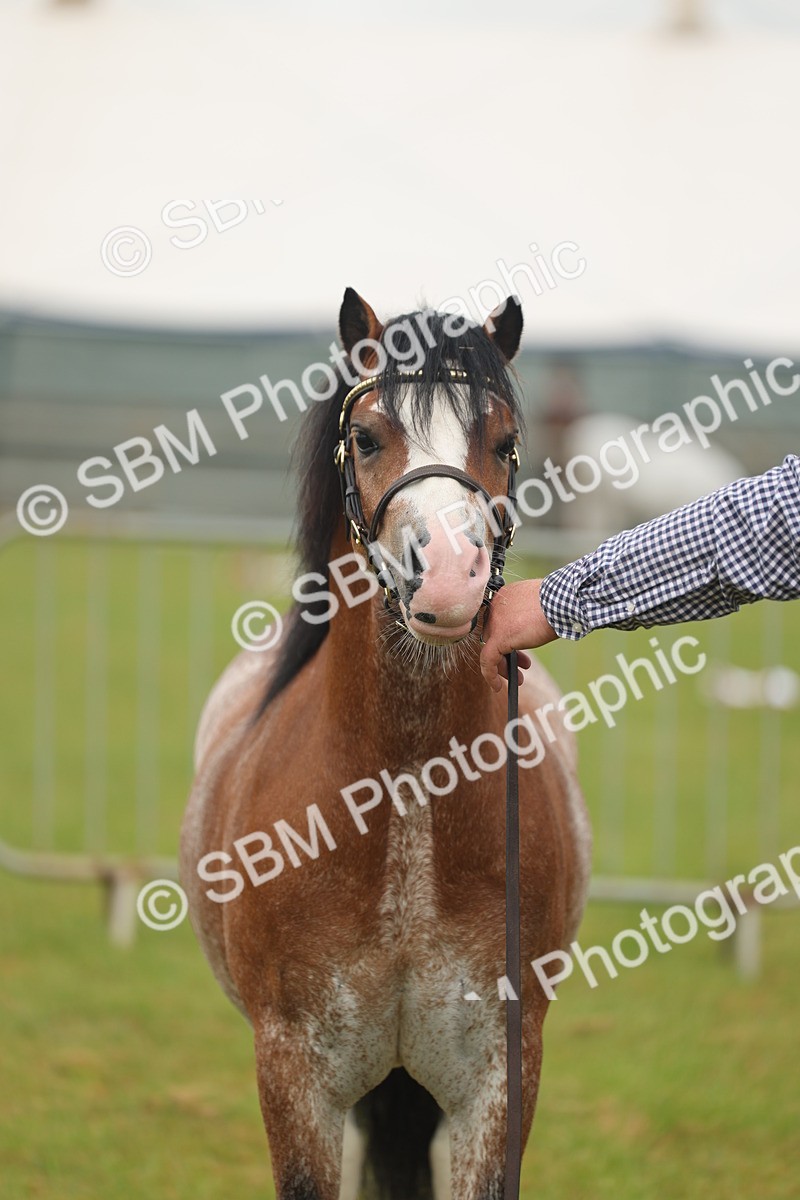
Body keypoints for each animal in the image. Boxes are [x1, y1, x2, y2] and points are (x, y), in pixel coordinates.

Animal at [180, 290, 591, 1200]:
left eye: (503, 441)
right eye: (367, 437)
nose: (448, 576)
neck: (401, 796)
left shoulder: (498, 1076)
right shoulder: (294, 1074)